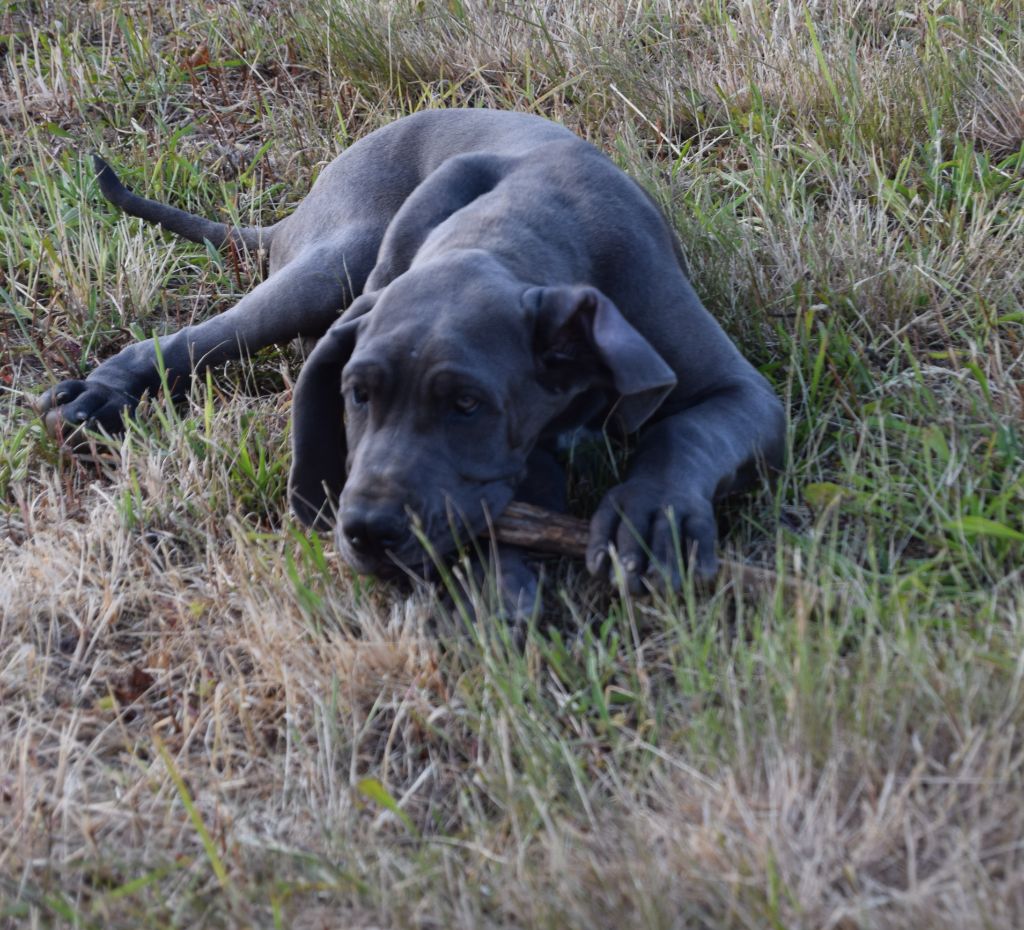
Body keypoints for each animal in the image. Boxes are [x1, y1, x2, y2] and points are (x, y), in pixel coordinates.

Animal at [34, 109, 782, 598]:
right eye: (357, 393)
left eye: (467, 405)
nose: (367, 531)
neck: (521, 227)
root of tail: (292, 215)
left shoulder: (738, 391)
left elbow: (683, 432)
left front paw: (653, 515)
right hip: (332, 263)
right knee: (199, 336)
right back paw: (101, 394)